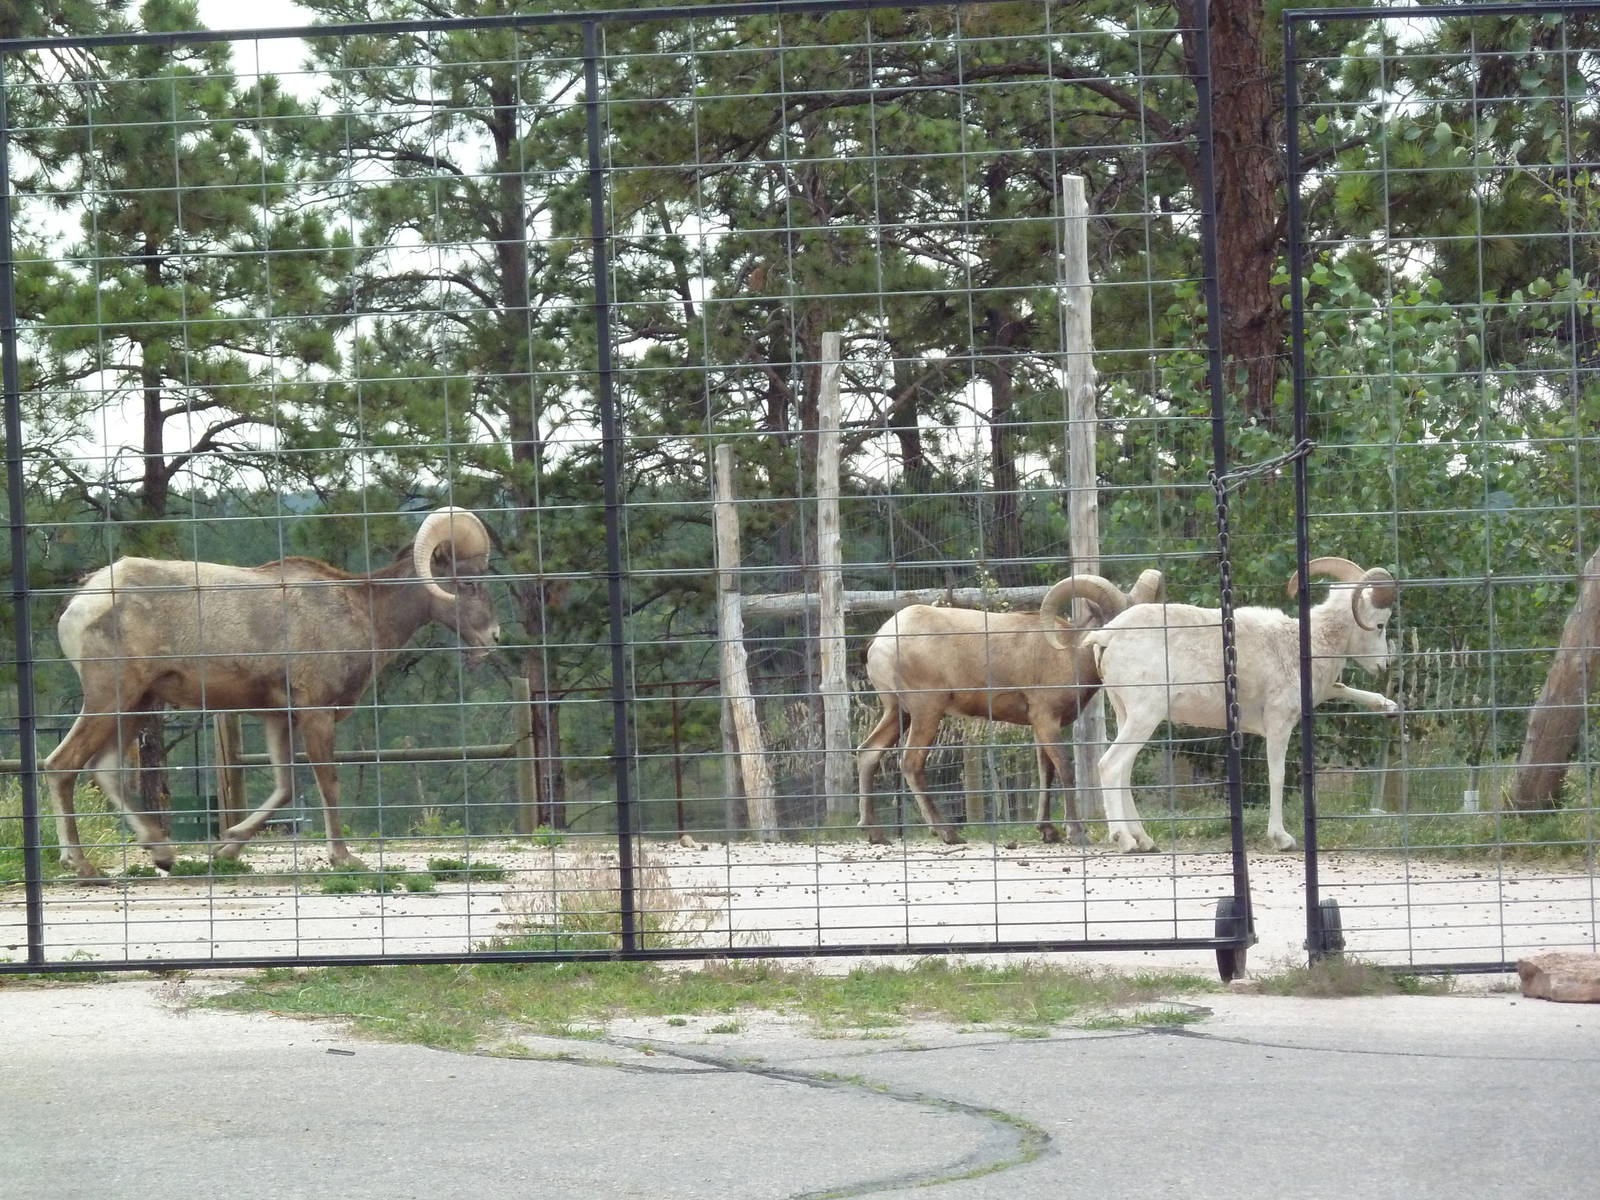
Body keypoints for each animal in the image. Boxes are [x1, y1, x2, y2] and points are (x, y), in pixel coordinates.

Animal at [43, 506, 500, 878]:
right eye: (465, 582)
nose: (493, 637)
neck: (362, 612)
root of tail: (83, 601)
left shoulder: (278, 719)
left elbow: (286, 788)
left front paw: (227, 847)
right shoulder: (316, 713)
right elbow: (327, 783)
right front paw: (343, 858)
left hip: (138, 705)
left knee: (103, 770)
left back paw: (162, 854)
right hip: (111, 699)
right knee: (61, 765)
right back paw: (80, 865)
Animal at [855, 568, 1165, 845]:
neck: (1069, 653)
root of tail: (879, 641)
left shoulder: (1040, 727)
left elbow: (1046, 773)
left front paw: (1048, 832)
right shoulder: (1047, 720)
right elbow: (1064, 769)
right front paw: (1075, 833)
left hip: (898, 713)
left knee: (869, 753)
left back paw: (875, 833)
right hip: (926, 712)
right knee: (911, 763)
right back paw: (948, 833)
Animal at [1066, 556, 1398, 854]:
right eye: (1380, 625)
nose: (1384, 665)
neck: (1299, 644)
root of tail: (1107, 637)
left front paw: (1389, 707)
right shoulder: (1279, 724)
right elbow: (1277, 776)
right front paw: (1282, 839)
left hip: (1127, 715)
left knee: (1124, 770)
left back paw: (1145, 841)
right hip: (1144, 717)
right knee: (1110, 766)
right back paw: (1125, 840)